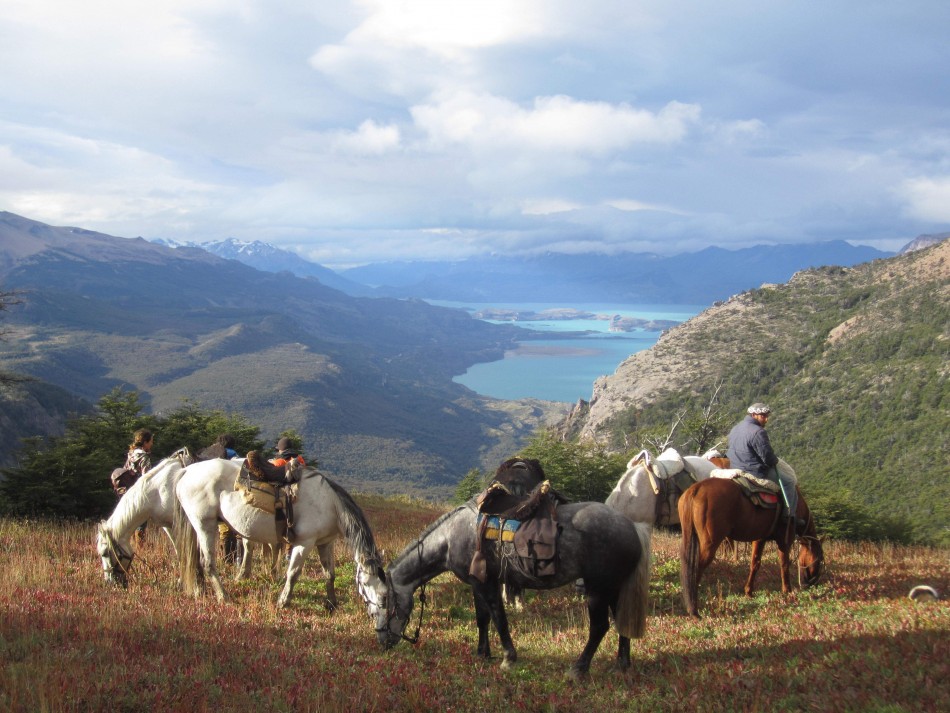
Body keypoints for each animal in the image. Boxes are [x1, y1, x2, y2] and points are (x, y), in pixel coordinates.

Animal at [96, 447, 196, 587]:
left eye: (104, 553)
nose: (110, 582)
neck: (159, 490)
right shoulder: (169, 526)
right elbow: (179, 550)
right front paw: (181, 581)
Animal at [172, 457, 386, 612]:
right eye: (365, 584)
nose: (377, 614)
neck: (330, 503)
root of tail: (186, 471)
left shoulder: (325, 543)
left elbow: (329, 574)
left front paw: (331, 604)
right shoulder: (304, 543)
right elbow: (293, 573)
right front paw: (283, 602)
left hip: (199, 527)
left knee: (196, 561)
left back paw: (199, 590)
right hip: (205, 525)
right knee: (208, 563)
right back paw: (223, 597)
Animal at [375, 500, 652, 680]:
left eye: (384, 599)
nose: (383, 640)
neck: (451, 538)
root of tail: (632, 526)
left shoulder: (488, 584)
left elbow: (499, 619)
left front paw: (508, 658)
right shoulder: (477, 583)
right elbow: (482, 619)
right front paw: (482, 654)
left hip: (597, 590)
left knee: (599, 627)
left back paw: (578, 670)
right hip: (614, 588)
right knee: (621, 621)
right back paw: (621, 665)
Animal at [678, 476, 824, 618]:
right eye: (820, 560)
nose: (813, 583)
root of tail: (696, 488)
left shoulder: (760, 538)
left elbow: (755, 564)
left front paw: (749, 591)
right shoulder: (784, 539)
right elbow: (784, 564)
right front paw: (787, 590)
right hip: (710, 543)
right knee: (695, 570)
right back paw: (693, 610)